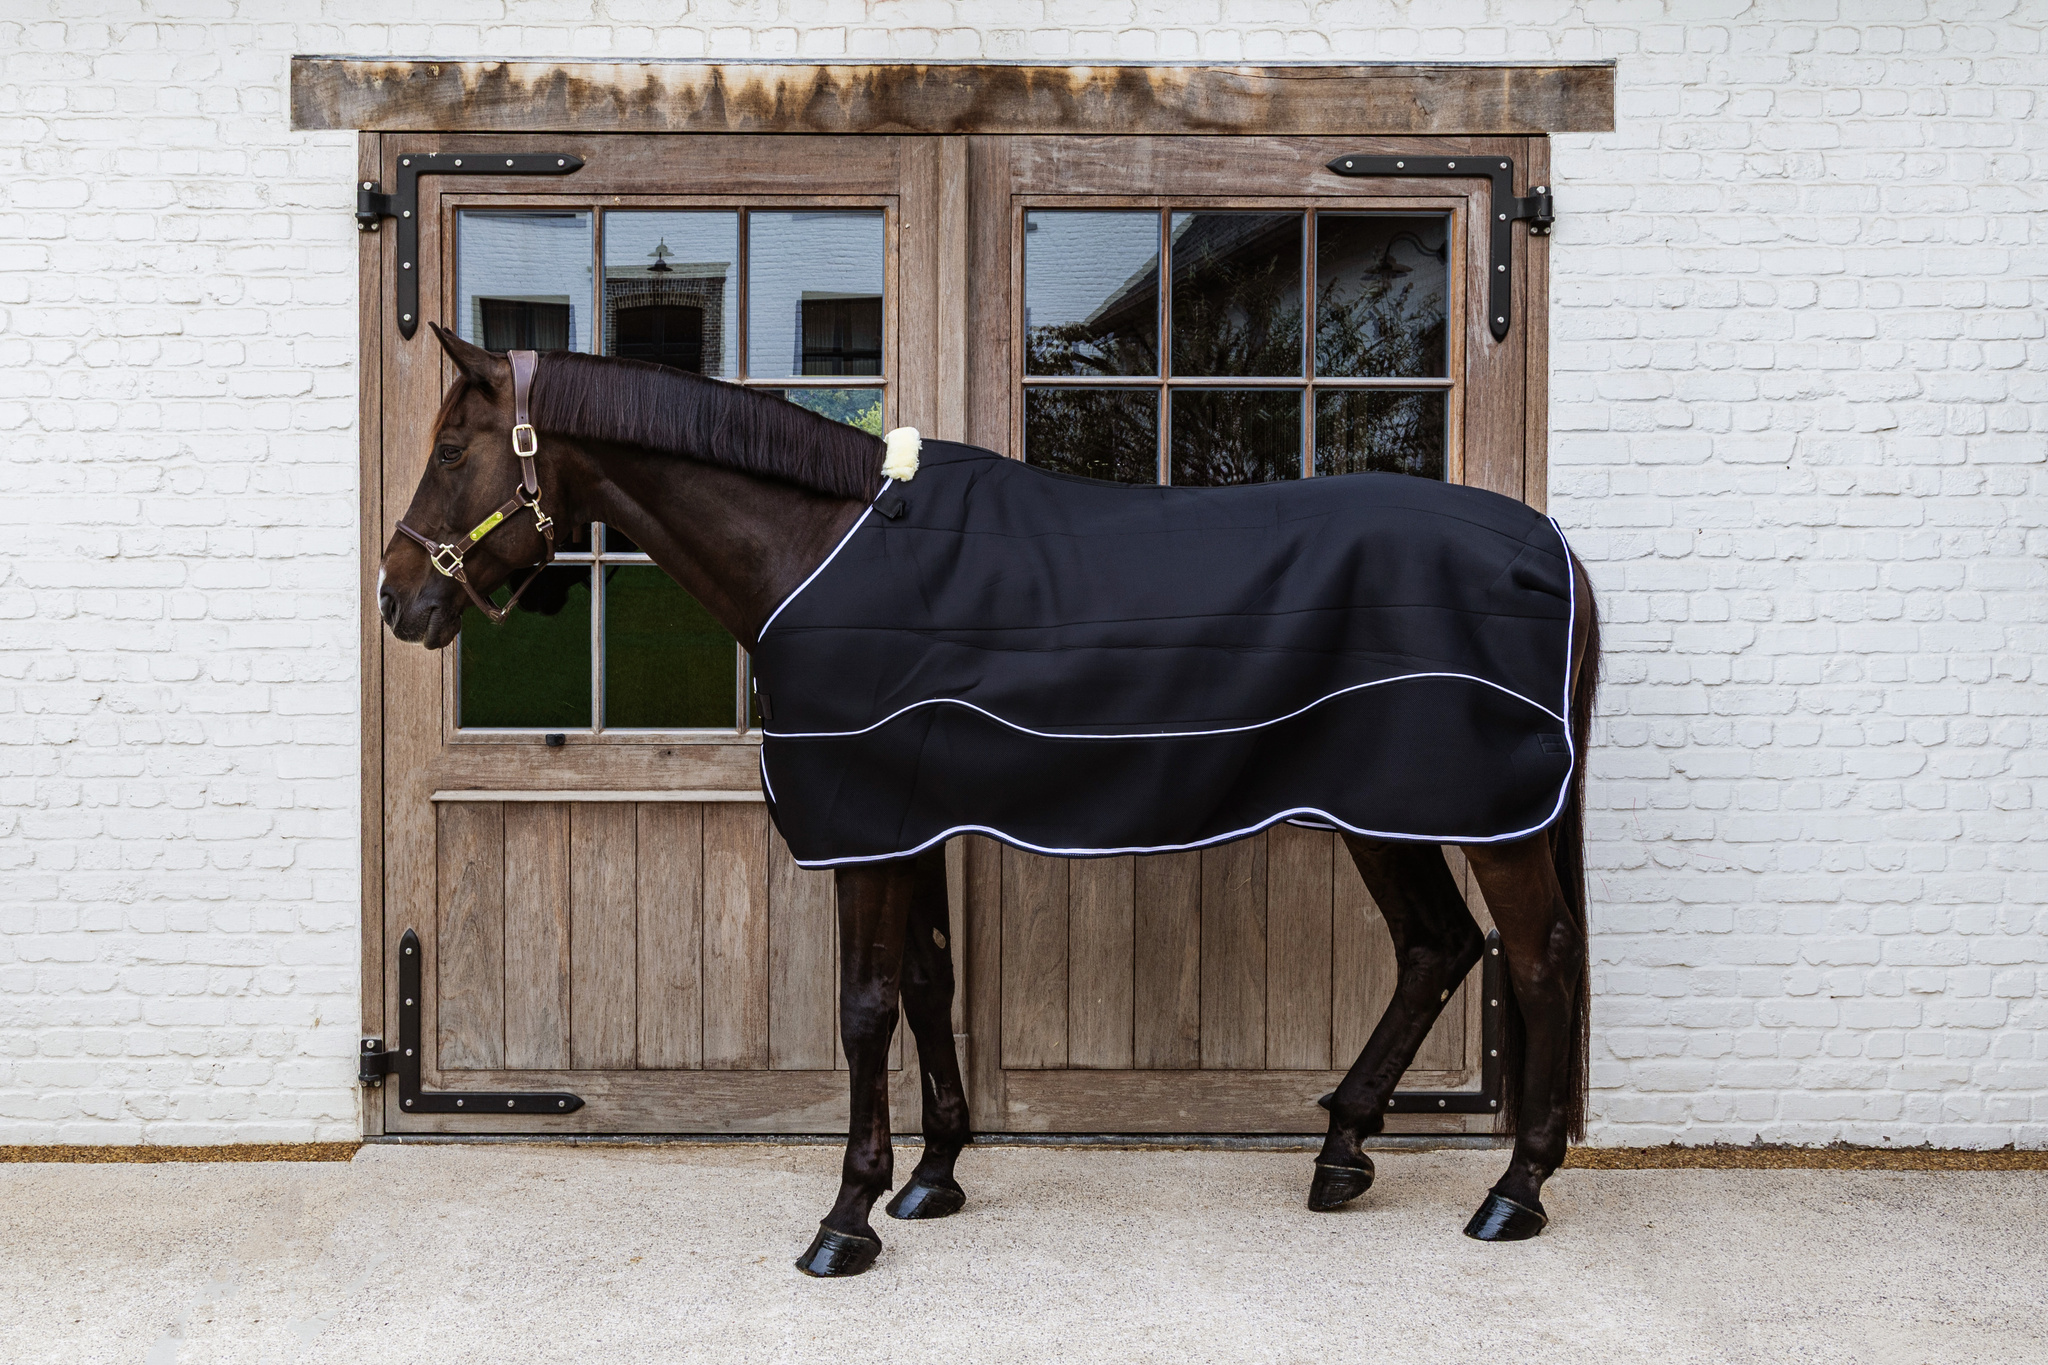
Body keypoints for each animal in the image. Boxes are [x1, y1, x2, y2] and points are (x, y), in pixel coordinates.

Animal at [378, 324, 1600, 1277]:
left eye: (449, 449)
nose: (397, 598)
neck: (818, 549)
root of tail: (1552, 550)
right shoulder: (908, 818)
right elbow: (928, 981)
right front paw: (932, 1177)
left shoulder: (864, 825)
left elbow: (864, 1006)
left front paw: (846, 1220)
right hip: (1387, 810)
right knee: (1438, 947)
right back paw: (1344, 1151)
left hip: (1478, 822)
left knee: (1538, 958)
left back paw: (1514, 1192)